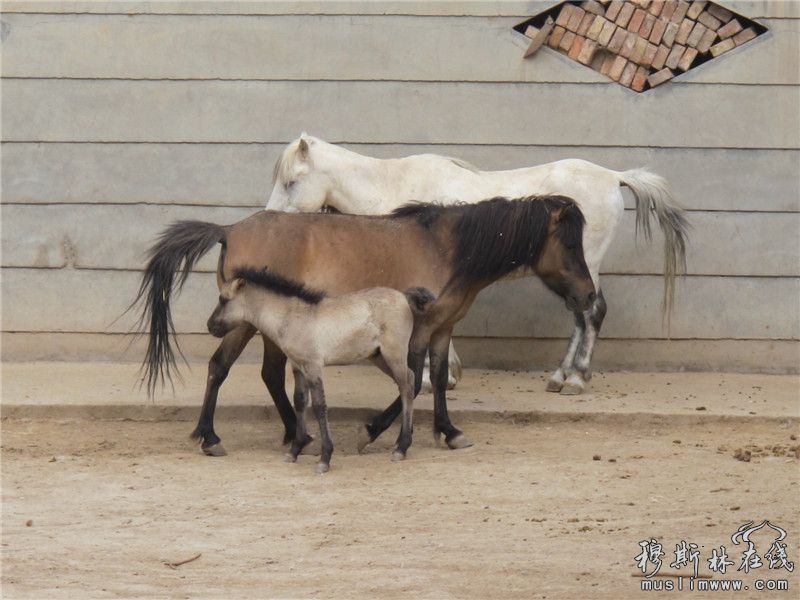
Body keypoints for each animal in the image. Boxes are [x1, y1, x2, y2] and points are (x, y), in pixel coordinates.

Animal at [133, 196, 592, 454]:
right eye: (570, 244)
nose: (589, 296)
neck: (448, 247)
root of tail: (229, 229)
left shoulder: (443, 329)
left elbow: (438, 382)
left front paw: (448, 431)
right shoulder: (418, 330)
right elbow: (413, 380)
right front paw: (372, 431)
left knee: (268, 374)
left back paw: (295, 434)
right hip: (241, 323)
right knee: (219, 367)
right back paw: (210, 437)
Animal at [264, 133, 688, 394]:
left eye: (291, 181)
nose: (269, 219)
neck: (393, 187)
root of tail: (613, 177)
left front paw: (431, 378)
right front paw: (448, 375)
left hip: (587, 269)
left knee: (592, 313)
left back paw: (576, 379)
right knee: (581, 316)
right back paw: (560, 376)